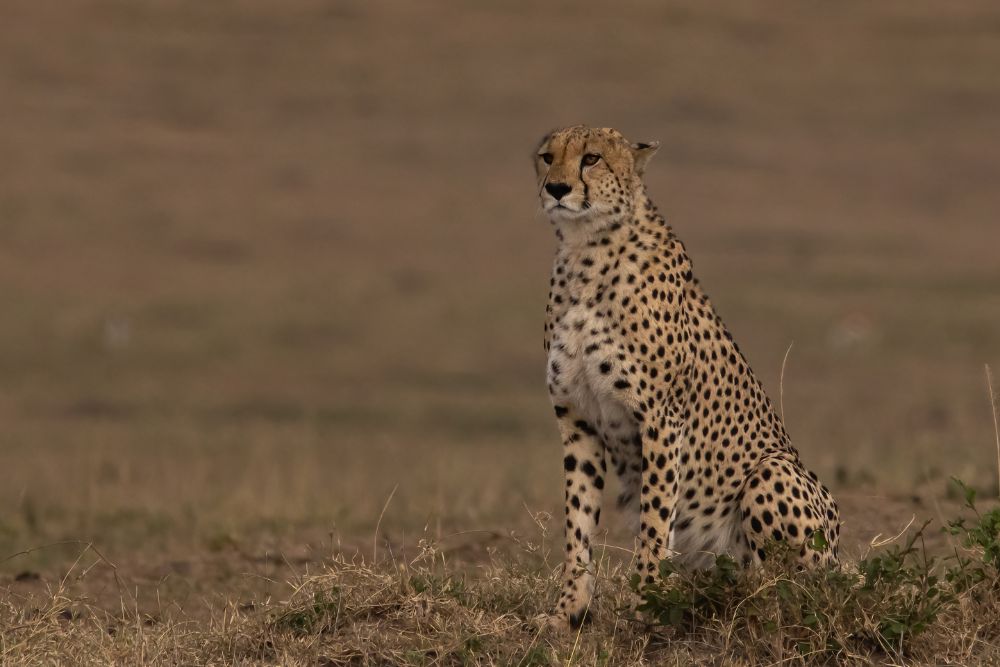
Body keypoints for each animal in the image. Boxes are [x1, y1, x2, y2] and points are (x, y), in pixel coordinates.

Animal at [534, 125, 840, 631]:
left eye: (592, 158)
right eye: (547, 157)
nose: (556, 188)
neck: (586, 250)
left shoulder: (660, 418)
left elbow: (655, 522)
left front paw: (645, 604)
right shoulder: (575, 417)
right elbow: (577, 525)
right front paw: (567, 612)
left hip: (772, 471)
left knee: (788, 587)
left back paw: (748, 598)